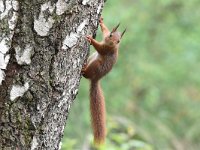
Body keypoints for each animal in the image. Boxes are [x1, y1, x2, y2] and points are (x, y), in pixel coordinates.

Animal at [81, 17, 125, 145]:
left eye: (119, 41)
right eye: (111, 35)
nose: (113, 43)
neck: (110, 45)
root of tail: (96, 79)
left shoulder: (105, 49)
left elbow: (99, 47)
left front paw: (91, 39)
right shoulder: (105, 37)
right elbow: (104, 30)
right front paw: (101, 21)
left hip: (96, 65)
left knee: (86, 75)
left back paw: (84, 70)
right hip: (92, 57)